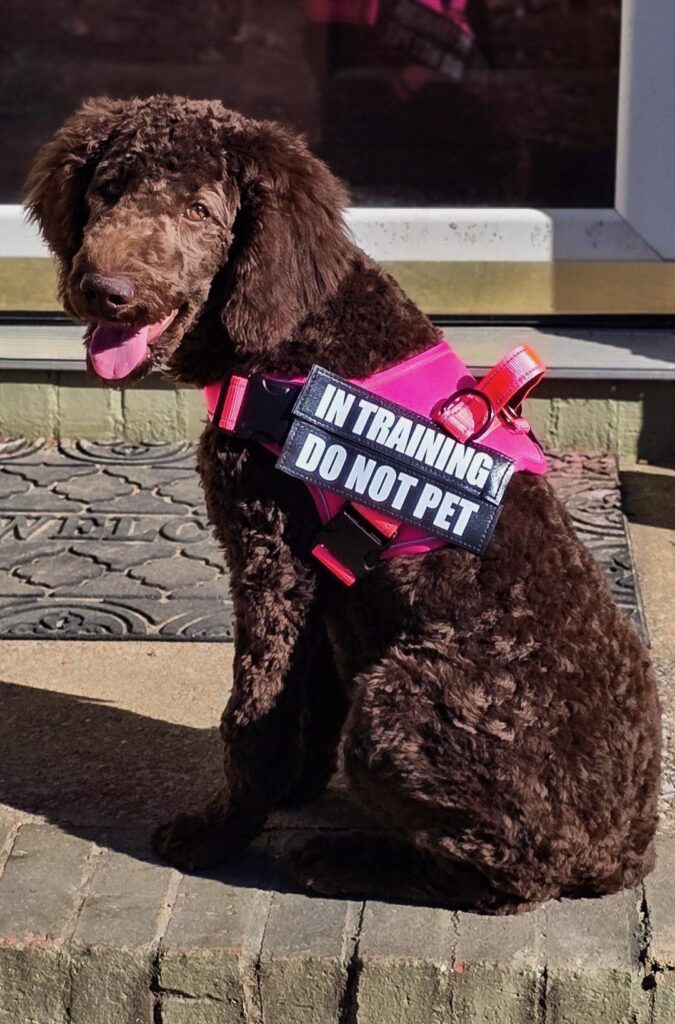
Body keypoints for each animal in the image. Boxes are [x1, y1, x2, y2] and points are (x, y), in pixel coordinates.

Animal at [26, 94, 659, 913]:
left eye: (200, 210)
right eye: (108, 191)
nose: (107, 290)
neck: (292, 334)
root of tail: (625, 850)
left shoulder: (272, 561)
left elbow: (252, 716)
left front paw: (221, 830)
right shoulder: (323, 581)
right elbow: (307, 698)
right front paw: (294, 788)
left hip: (397, 705)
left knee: (507, 879)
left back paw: (347, 857)